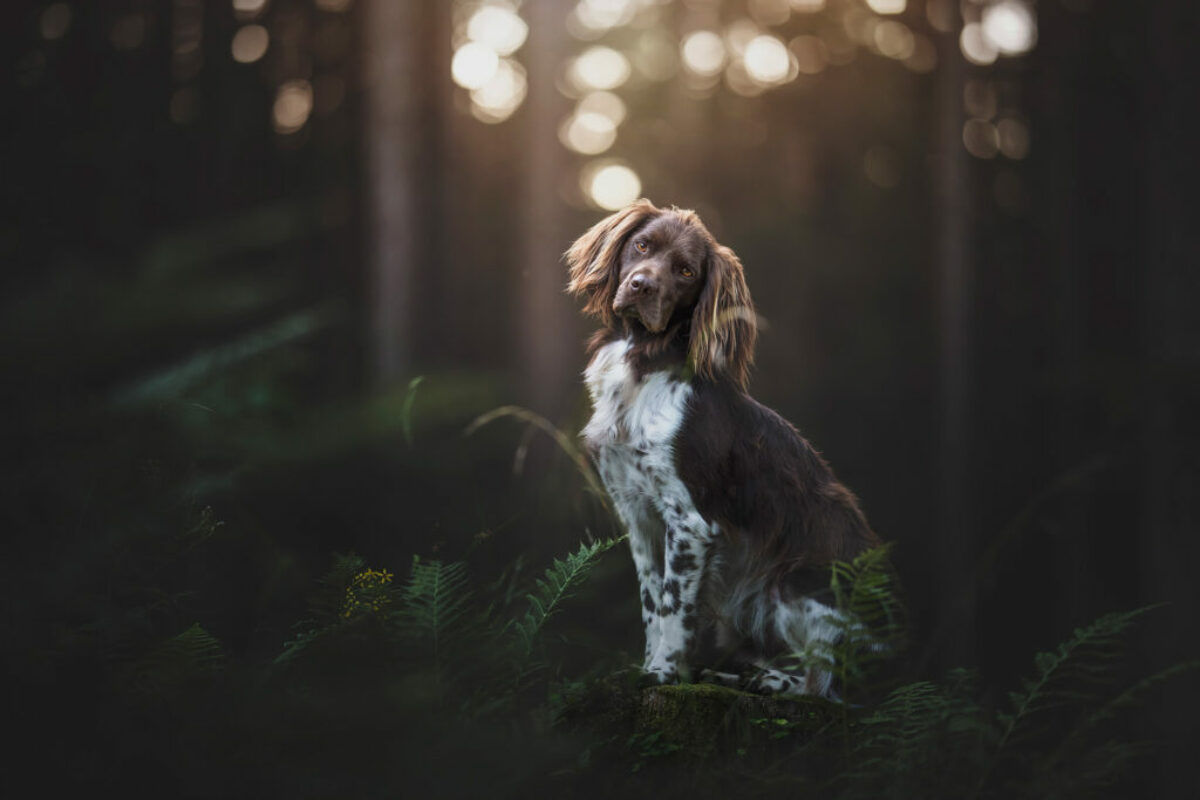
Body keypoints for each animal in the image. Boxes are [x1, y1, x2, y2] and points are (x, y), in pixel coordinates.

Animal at [561, 199, 883, 695]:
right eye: (642, 245)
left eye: (686, 271)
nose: (641, 285)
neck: (643, 365)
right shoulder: (638, 516)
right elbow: (651, 603)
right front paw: (647, 670)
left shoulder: (689, 521)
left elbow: (674, 608)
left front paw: (663, 674)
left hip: (791, 584)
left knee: (824, 686)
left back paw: (764, 681)